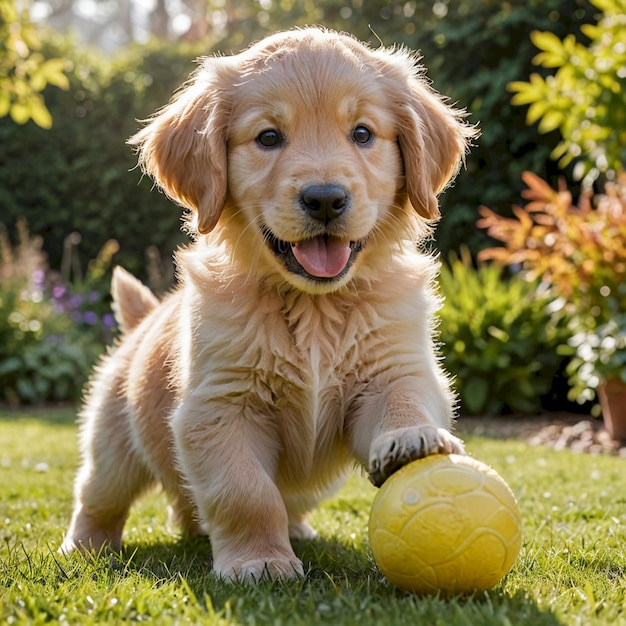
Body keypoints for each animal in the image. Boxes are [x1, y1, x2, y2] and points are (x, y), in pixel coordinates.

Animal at [62, 25, 472, 580]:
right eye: (269, 137)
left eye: (363, 134)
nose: (325, 199)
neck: (314, 305)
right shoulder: (220, 406)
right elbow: (245, 492)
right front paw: (260, 560)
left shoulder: (394, 369)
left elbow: (403, 403)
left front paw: (411, 440)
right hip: (112, 444)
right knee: (99, 496)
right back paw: (85, 545)